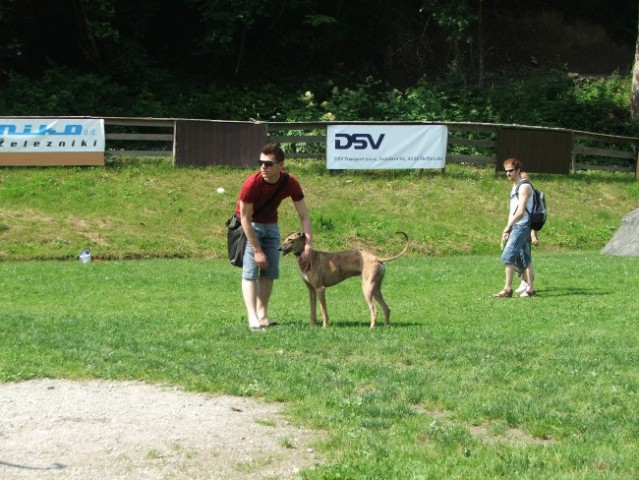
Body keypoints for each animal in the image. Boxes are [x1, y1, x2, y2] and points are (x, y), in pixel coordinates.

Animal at [278, 232, 410, 328]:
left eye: (290, 239)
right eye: (285, 239)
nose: (279, 248)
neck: (308, 257)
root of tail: (377, 258)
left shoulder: (320, 289)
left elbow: (323, 310)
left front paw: (324, 327)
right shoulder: (312, 290)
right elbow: (313, 310)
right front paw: (312, 326)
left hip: (367, 288)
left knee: (374, 310)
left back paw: (371, 328)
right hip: (375, 289)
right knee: (386, 308)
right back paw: (385, 326)